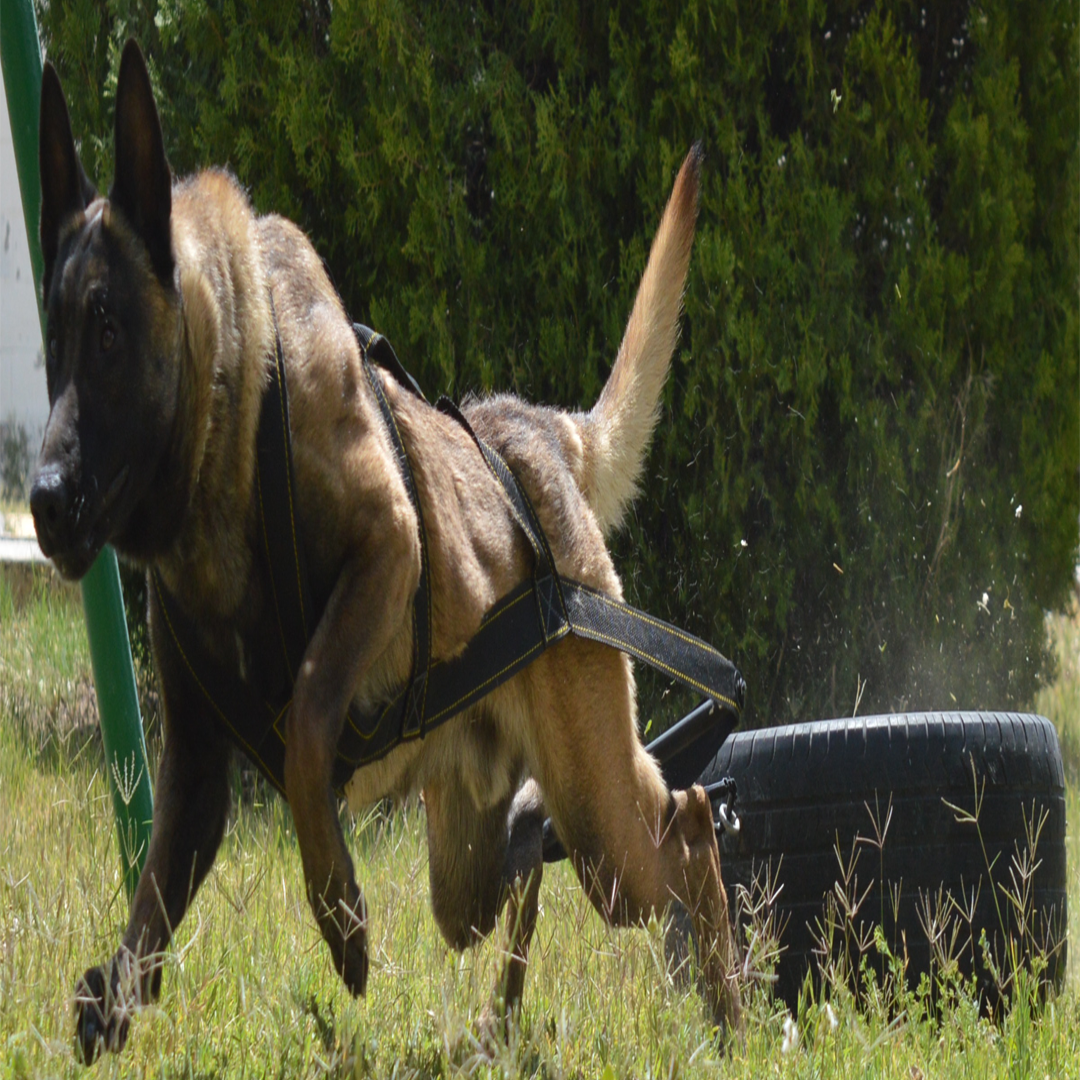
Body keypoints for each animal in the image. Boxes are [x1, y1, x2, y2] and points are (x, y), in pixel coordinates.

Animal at [33, 38, 743, 1058]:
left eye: (109, 329)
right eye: (51, 339)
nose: (43, 503)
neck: (236, 410)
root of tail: (544, 431)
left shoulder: (389, 549)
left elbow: (306, 716)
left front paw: (341, 918)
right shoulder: (196, 770)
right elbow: (153, 901)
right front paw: (111, 1000)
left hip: (609, 840)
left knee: (685, 822)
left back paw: (730, 1012)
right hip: (474, 866)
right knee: (529, 850)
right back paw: (502, 1018)